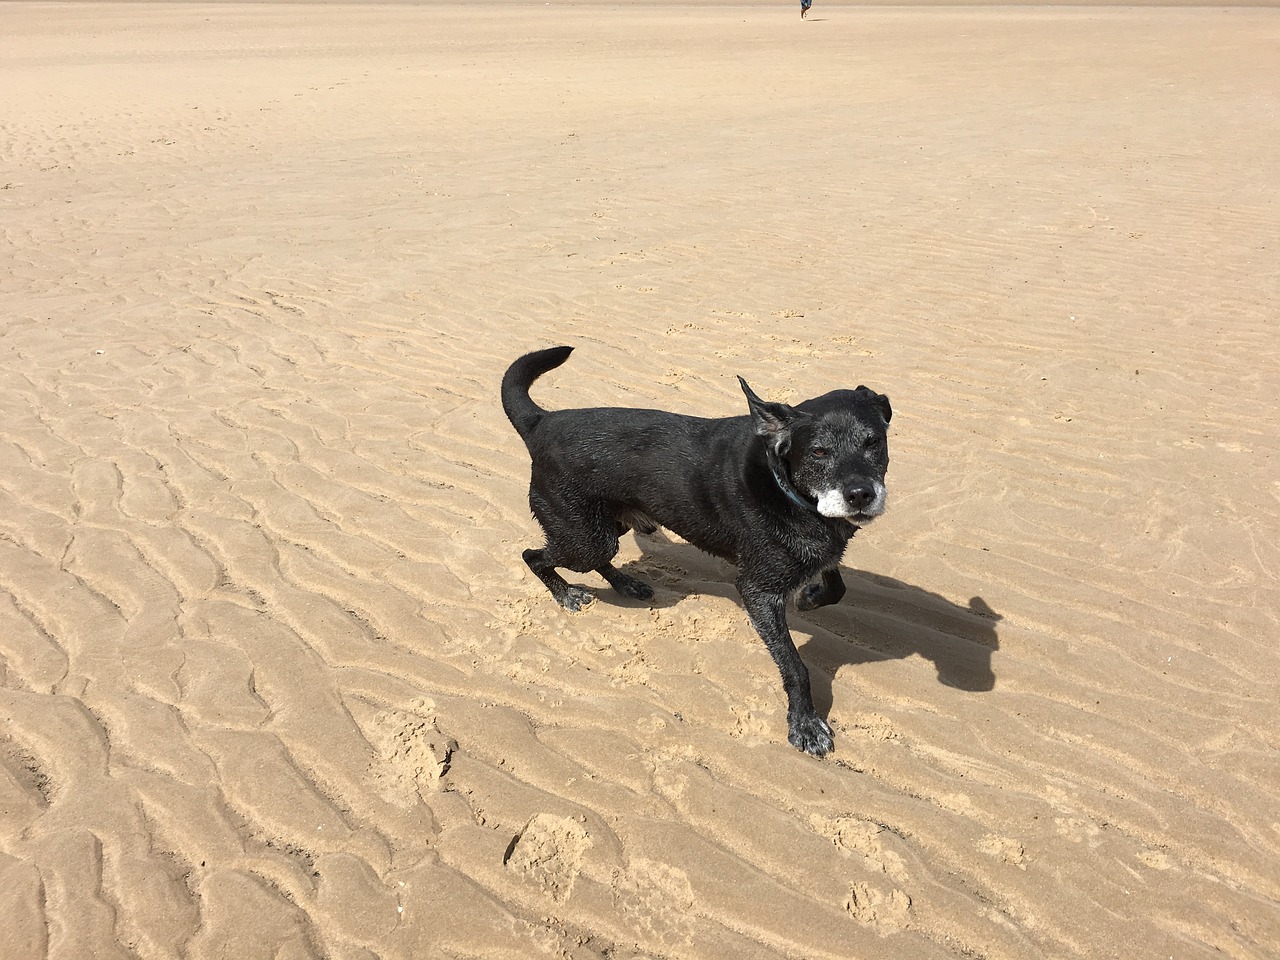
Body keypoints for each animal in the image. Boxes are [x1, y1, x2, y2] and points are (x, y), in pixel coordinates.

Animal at [499, 345, 890, 757]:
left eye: (873, 442)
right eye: (818, 451)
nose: (860, 495)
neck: (783, 484)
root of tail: (541, 422)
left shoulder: (822, 548)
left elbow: (836, 584)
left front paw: (811, 596)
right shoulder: (759, 591)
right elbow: (795, 666)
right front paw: (806, 724)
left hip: (607, 523)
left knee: (595, 555)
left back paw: (626, 585)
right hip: (584, 535)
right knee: (535, 555)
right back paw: (566, 594)